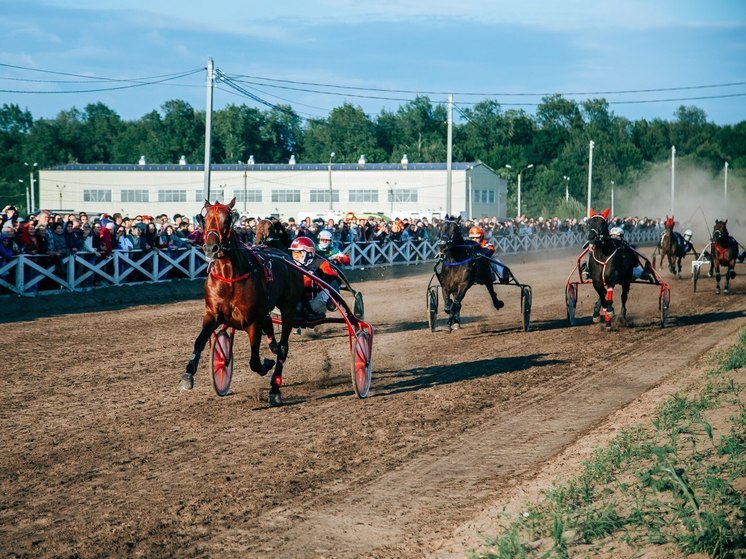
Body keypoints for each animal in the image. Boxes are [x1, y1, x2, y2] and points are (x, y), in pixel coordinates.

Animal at [179, 201, 304, 406]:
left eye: (227, 220)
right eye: (205, 219)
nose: (211, 248)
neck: (229, 277)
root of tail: (284, 255)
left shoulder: (252, 321)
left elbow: (254, 362)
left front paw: (266, 364)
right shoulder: (212, 314)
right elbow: (199, 341)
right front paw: (187, 375)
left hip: (288, 309)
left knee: (283, 348)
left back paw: (275, 388)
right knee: (271, 329)